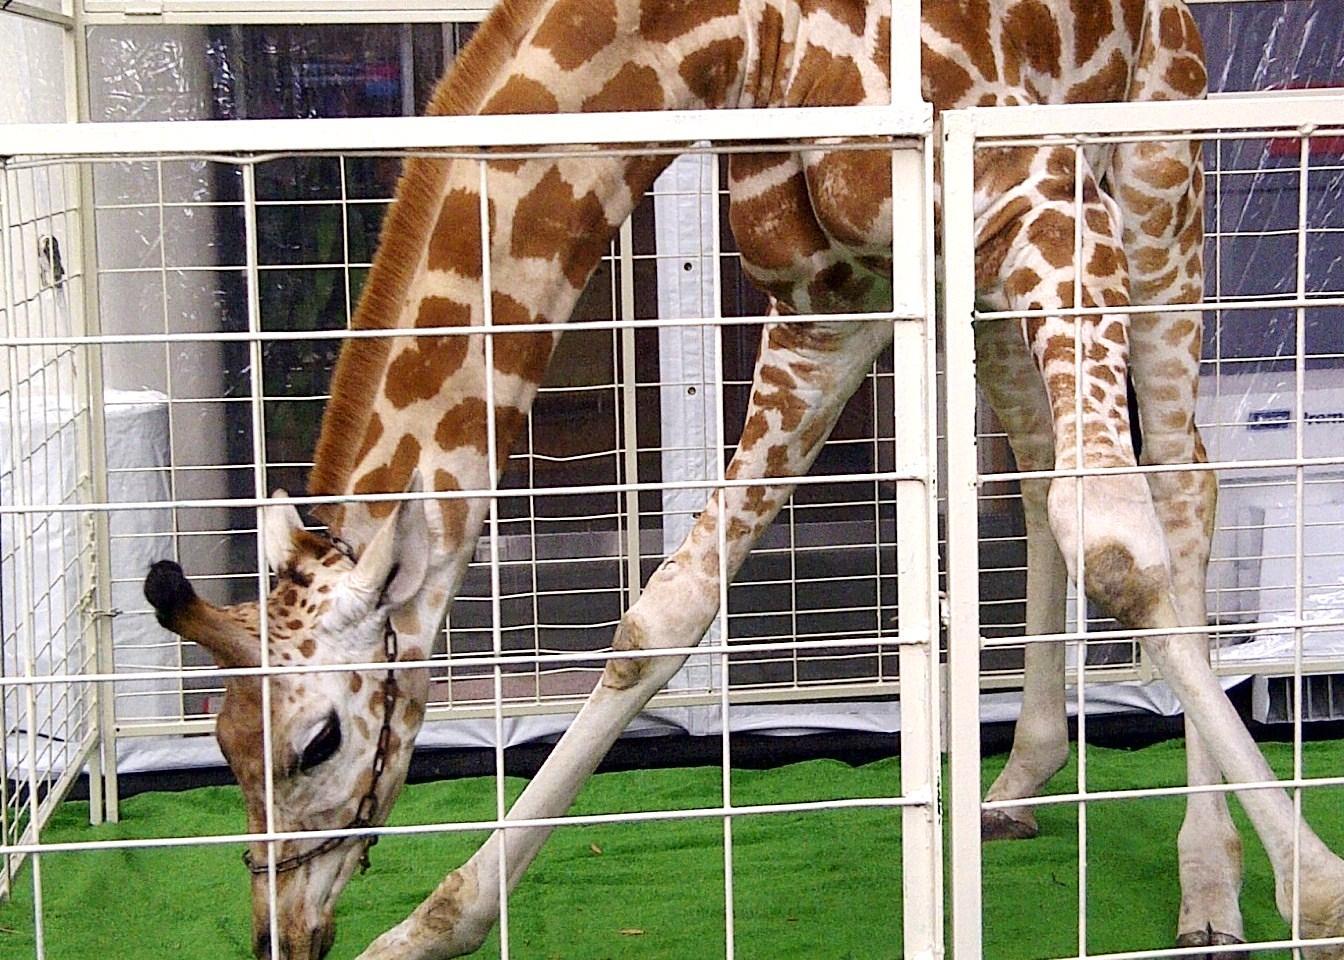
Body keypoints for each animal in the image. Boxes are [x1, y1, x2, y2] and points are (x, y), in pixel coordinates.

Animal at [140, 1, 1344, 958]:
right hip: (993, 272)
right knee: (1042, 455)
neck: (734, 38)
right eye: (224, 746)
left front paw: (1318, 895)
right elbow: (661, 616)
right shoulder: (827, 304)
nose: (283, 934)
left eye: (317, 742)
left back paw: (1209, 886)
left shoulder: (1039, 196)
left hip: (1151, 170)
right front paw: (433, 926)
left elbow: (1120, 546)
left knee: (1180, 484)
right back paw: (1016, 783)